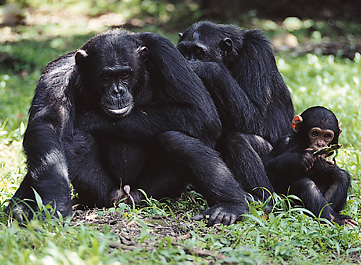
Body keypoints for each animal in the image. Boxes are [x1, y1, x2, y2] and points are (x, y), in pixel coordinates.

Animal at [6, 29, 248, 226]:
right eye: (106, 75)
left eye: (124, 73)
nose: (117, 91)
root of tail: (126, 194)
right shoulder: (60, 72)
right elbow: (48, 126)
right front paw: (56, 204)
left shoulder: (166, 52)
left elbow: (200, 113)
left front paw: (90, 119)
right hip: (105, 192)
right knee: (76, 142)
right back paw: (21, 209)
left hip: (152, 191)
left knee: (178, 140)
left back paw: (230, 206)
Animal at [176, 21, 294, 202]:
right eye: (184, 51)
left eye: (198, 52)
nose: (187, 59)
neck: (231, 58)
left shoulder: (257, 51)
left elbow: (255, 114)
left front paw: (201, 68)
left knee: (236, 139)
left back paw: (261, 197)